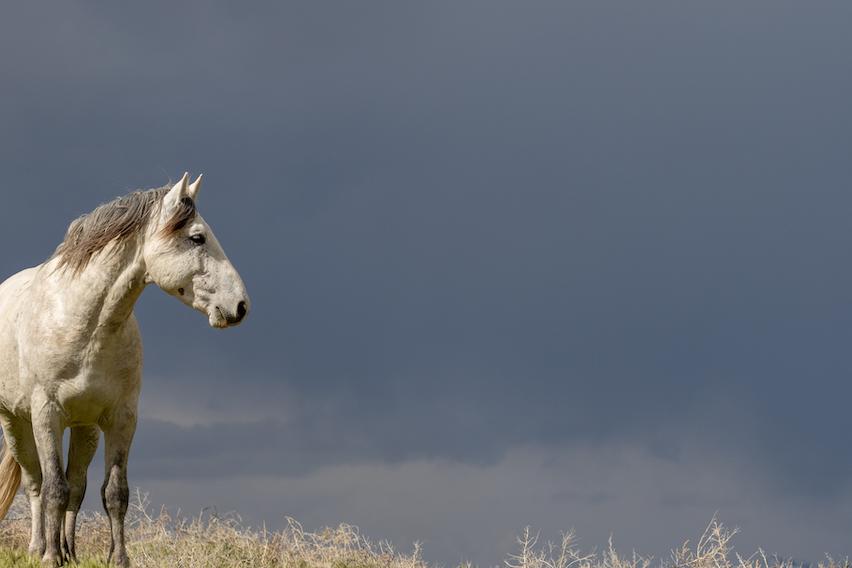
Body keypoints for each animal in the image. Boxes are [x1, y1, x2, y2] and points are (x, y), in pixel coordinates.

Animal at [0, 173, 249, 566]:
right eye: (197, 237)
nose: (240, 305)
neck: (83, 322)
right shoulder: (45, 415)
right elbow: (53, 487)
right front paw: (50, 557)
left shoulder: (122, 418)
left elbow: (114, 493)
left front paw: (118, 558)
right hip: (15, 422)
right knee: (37, 484)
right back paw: (40, 547)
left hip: (85, 428)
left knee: (77, 485)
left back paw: (69, 550)